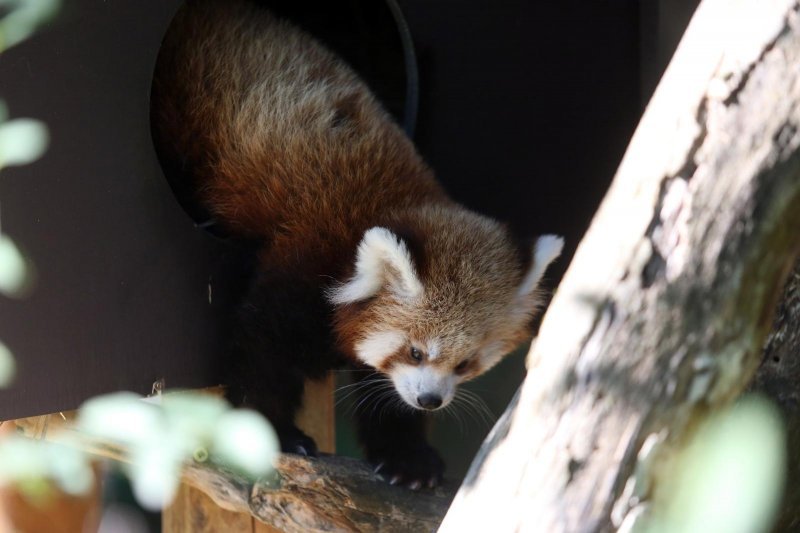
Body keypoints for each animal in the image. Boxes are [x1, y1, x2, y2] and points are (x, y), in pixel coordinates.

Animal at [152, 0, 564, 490]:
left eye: (466, 363)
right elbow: (262, 348)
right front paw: (277, 432)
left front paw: (408, 458)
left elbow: (385, 391)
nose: (431, 399)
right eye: (415, 351)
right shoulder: (304, 259)